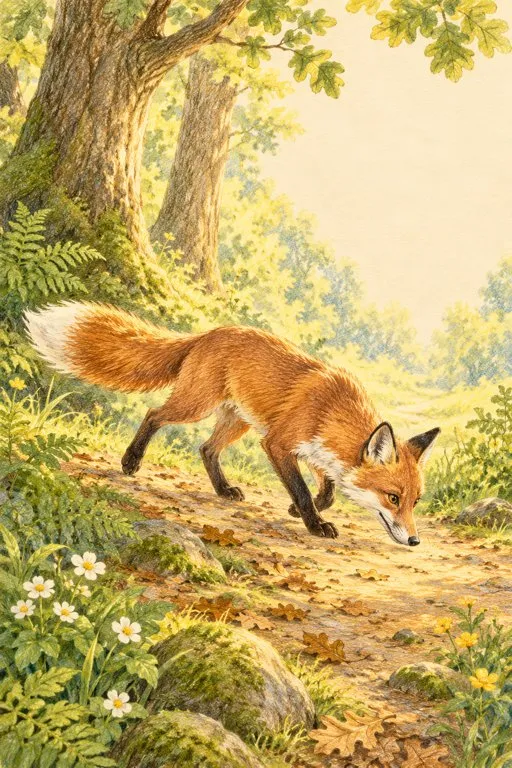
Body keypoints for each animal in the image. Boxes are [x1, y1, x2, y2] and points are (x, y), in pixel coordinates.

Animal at [24, 302, 440, 546]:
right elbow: (304, 490)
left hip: (237, 421)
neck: (333, 411)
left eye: (415, 501)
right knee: (154, 414)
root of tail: (208, 333)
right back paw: (131, 461)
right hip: (197, 406)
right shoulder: (278, 443)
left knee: (206, 448)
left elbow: (326, 491)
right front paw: (312, 523)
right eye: (393, 498)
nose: (415, 541)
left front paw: (301, 511)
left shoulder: (315, 452)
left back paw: (223, 489)